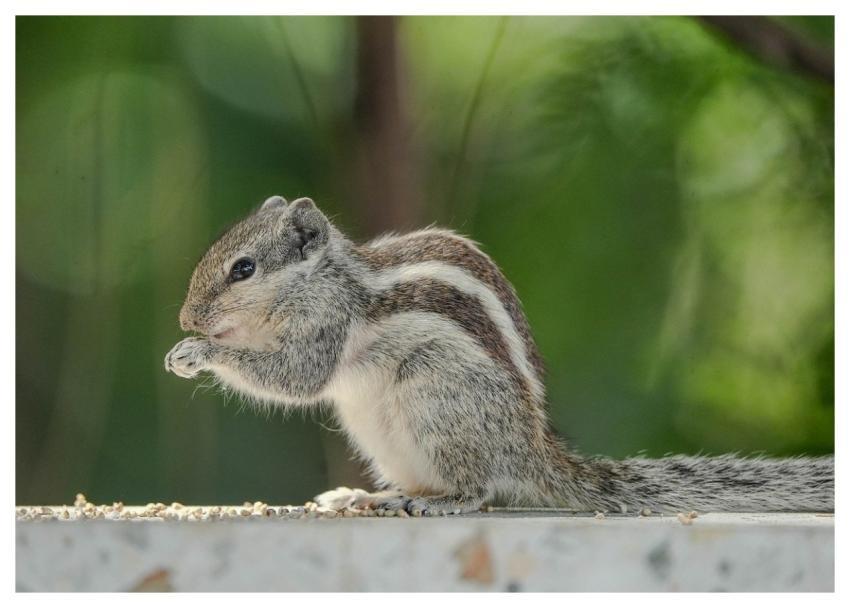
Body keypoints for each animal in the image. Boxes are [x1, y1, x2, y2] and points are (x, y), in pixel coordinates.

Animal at [165, 195, 834, 515]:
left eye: (244, 269)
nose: (187, 318)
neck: (323, 280)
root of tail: (529, 450)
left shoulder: (326, 325)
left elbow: (294, 378)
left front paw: (198, 352)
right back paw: (371, 496)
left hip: (438, 401)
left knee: (479, 488)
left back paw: (436, 502)